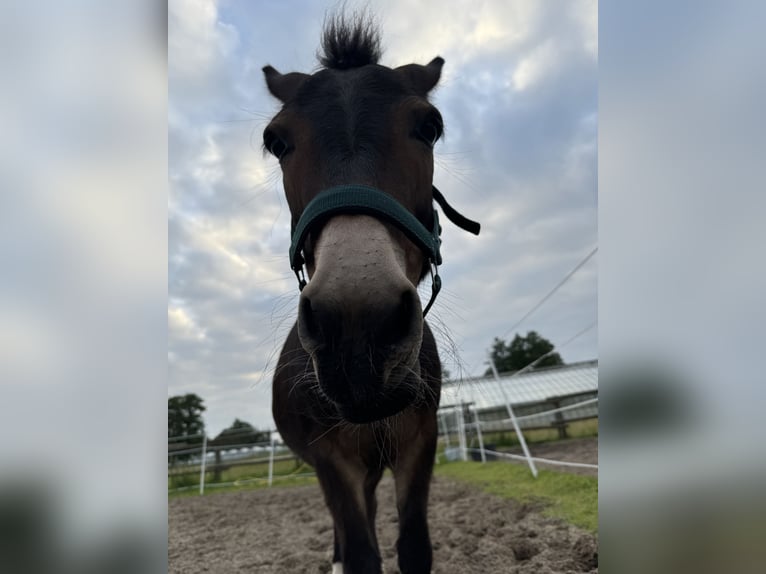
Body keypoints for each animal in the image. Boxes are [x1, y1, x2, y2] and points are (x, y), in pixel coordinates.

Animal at [264, 13, 480, 574]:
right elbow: (362, 552)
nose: (356, 327)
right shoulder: (331, 458)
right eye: (276, 142)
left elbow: (413, 547)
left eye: (429, 127)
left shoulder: (417, 444)